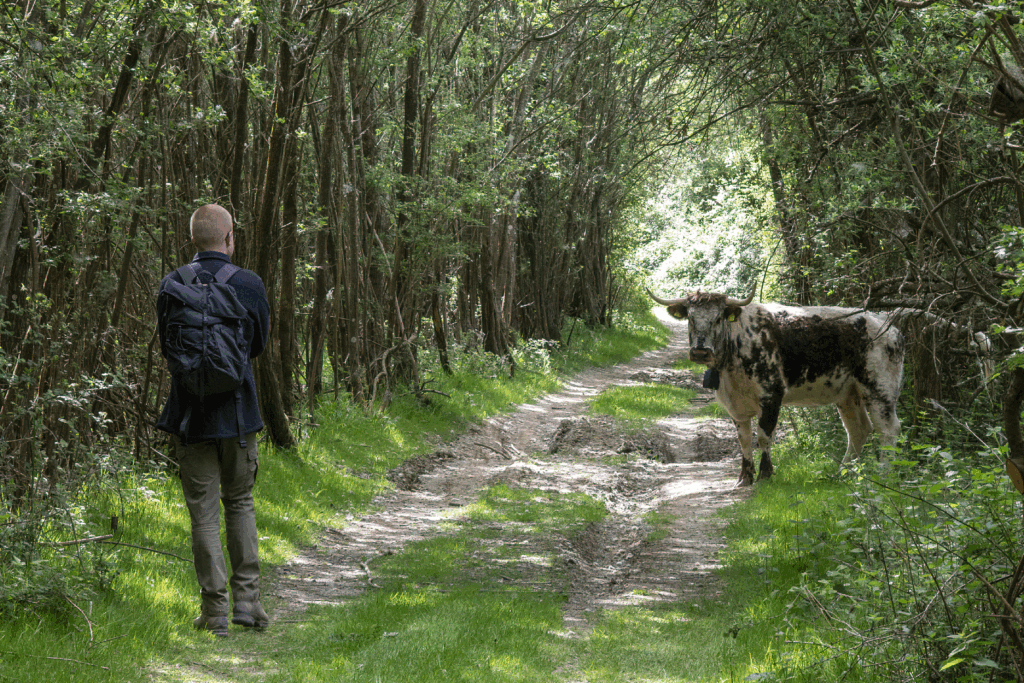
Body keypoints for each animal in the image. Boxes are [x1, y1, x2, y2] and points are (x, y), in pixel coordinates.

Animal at [648, 289, 905, 486]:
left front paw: (765, 475)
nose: (701, 351)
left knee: (887, 429)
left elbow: (763, 436)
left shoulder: (771, 396)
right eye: (691, 318)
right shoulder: (736, 406)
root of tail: (886, 323)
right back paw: (841, 475)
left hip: (879, 388)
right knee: (858, 430)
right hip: (848, 395)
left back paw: (884, 475)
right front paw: (744, 477)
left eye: (718, 318)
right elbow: (743, 440)